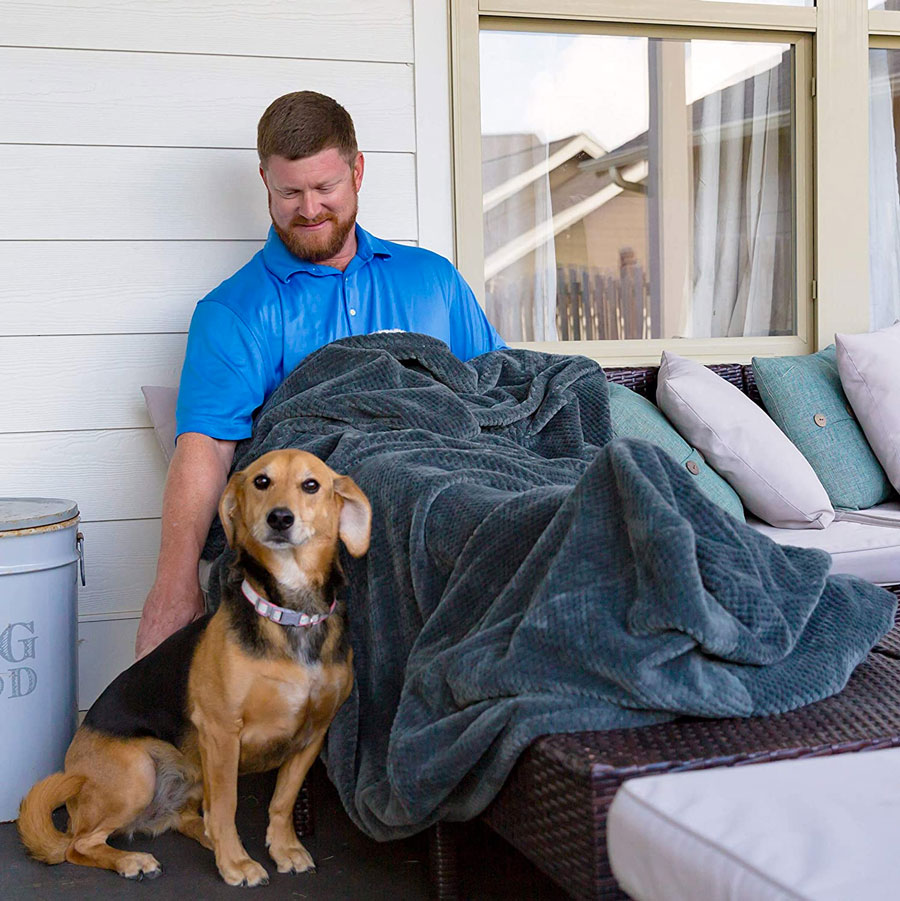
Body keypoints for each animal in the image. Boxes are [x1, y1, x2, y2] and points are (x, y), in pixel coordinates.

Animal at [17, 450, 370, 884]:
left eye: (311, 485)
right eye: (262, 482)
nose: (280, 519)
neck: (289, 614)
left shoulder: (312, 734)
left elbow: (283, 800)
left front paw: (284, 848)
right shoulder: (221, 732)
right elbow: (227, 806)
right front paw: (236, 864)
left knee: (186, 818)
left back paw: (204, 837)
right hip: (139, 771)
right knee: (78, 846)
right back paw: (134, 860)